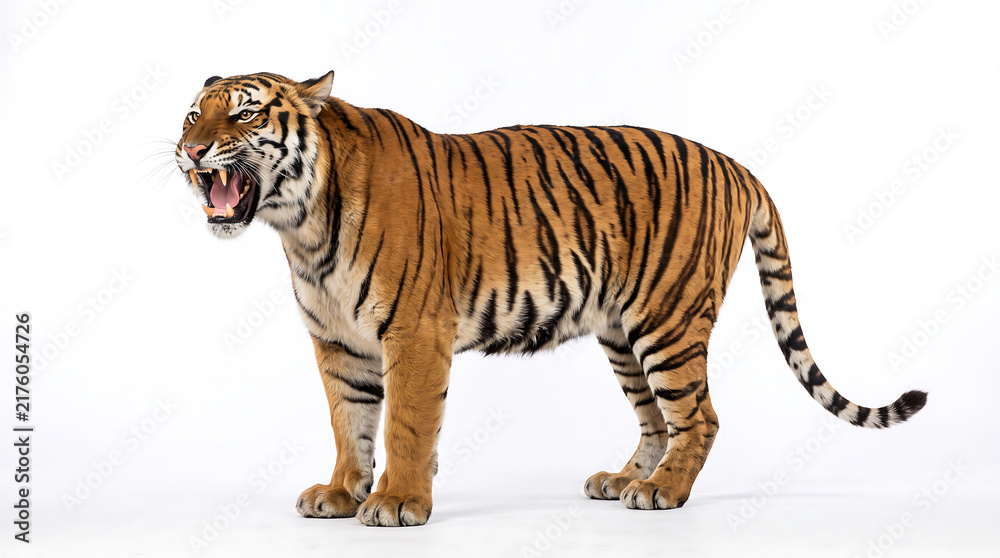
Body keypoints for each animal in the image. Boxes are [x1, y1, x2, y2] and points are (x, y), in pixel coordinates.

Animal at [175, 71, 927, 527]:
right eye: (191, 115)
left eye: (244, 113)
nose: (191, 151)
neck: (300, 224)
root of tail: (736, 164)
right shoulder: (338, 342)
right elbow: (348, 423)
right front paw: (340, 491)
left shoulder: (414, 333)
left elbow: (406, 425)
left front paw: (397, 503)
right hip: (623, 334)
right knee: (656, 420)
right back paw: (622, 480)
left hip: (669, 321)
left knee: (700, 416)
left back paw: (662, 492)